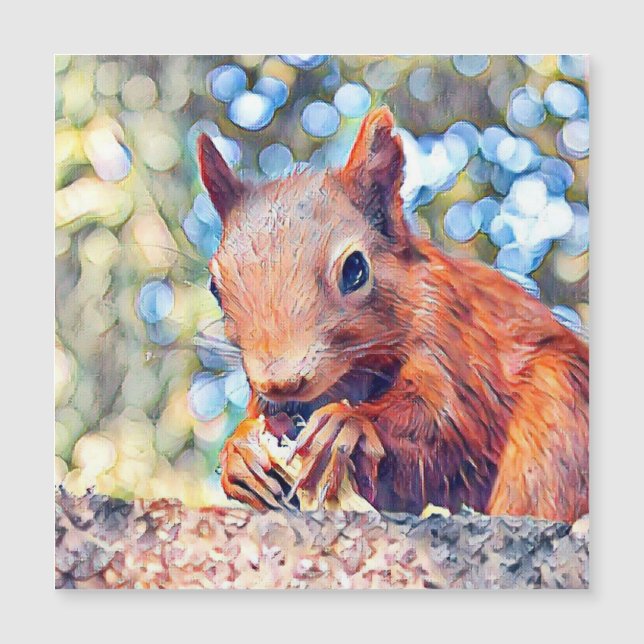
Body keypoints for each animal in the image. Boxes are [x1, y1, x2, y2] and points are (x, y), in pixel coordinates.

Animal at [196, 106, 589, 523]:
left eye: (355, 269)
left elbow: (445, 424)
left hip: (559, 409)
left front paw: (350, 423)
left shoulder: (449, 337)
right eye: (215, 287)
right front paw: (240, 452)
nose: (281, 383)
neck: (352, 374)